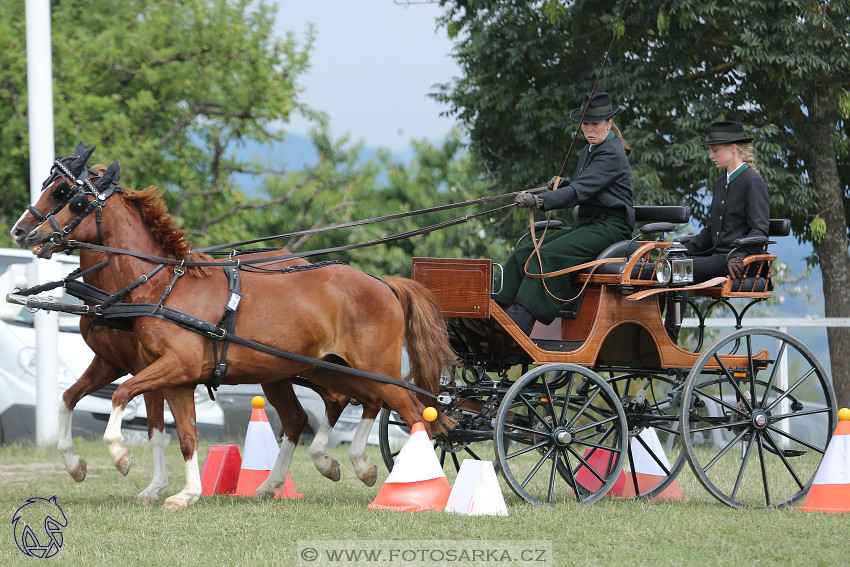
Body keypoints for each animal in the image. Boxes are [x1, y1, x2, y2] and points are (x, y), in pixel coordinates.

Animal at [13, 156, 450, 510]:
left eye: (68, 193)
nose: (21, 232)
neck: (159, 285)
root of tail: (382, 283)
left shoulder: (168, 367)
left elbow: (125, 399)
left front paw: (121, 457)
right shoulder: (164, 375)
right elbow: (172, 431)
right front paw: (179, 492)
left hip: (373, 367)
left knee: (413, 413)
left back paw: (412, 488)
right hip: (314, 368)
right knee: (328, 409)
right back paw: (310, 474)